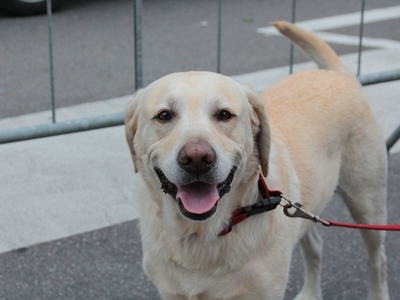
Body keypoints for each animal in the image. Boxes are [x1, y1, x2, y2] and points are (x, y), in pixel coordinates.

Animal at [124, 21, 388, 300]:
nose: (196, 158)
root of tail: (338, 74)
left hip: (367, 204)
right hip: (303, 207)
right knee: (315, 245)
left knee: (378, 258)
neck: (202, 234)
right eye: (164, 115)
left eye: (224, 114)